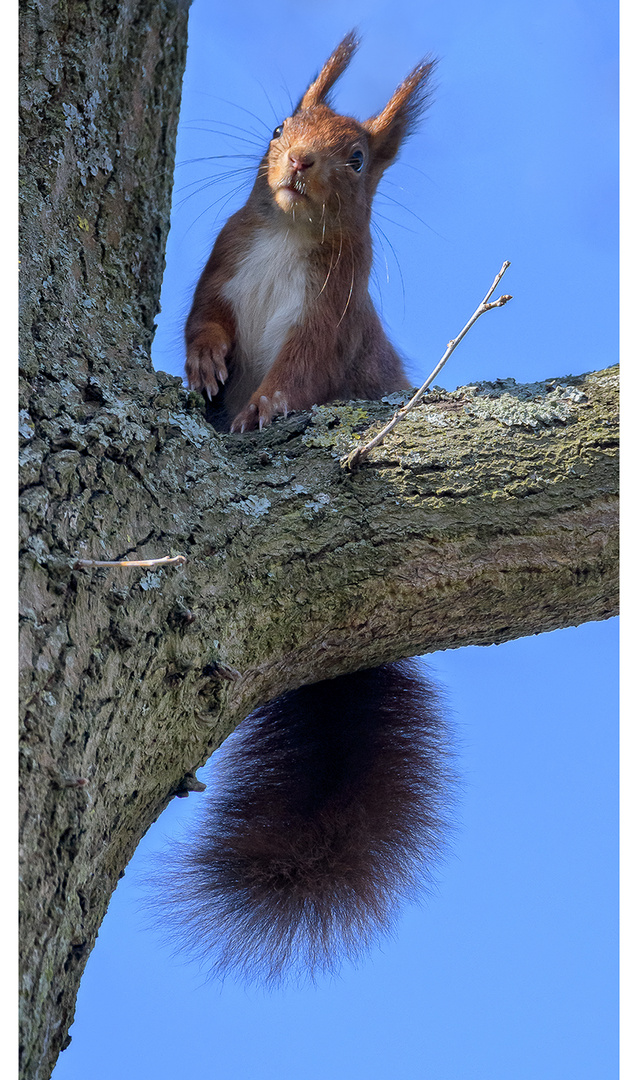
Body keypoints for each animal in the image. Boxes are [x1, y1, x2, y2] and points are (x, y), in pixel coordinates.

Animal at [165, 33, 453, 984]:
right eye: (281, 125)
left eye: (357, 159)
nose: (297, 165)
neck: (288, 235)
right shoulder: (221, 266)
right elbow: (204, 321)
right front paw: (208, 370)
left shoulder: (329, 322)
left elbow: (299, 372)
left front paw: (261, 408)